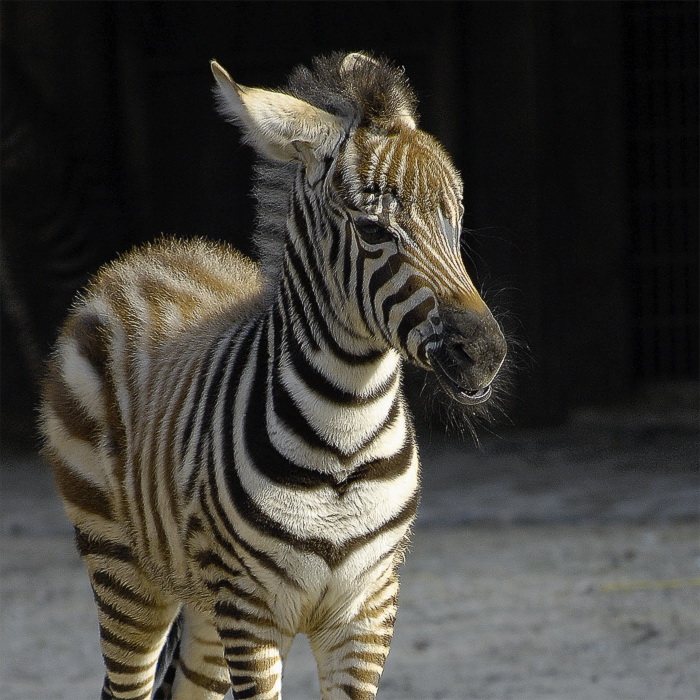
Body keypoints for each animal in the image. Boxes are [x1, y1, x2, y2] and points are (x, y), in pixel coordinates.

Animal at [41, 52, 506, 696]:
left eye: (456, 223)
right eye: (372, 231)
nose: (483, 353)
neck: (345, 433)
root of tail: (146, 256)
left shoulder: (367, 611)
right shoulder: (252, 611)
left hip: (202, 599)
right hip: (122, 566)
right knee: (124, 681)